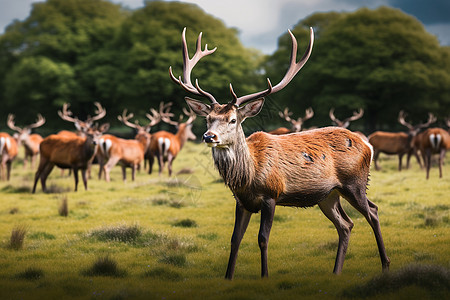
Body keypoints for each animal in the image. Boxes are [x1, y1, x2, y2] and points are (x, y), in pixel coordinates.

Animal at [169, 27, 390, 278]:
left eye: (233, 119)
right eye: (208, 118)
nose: (209, 137)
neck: (249, 175)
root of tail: (367, 144)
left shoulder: (271, 194)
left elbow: (263, 238)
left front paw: (264, 276)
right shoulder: (241, 201)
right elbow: (235, 239)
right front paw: (228, 277)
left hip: (355, 182)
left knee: (373, 211)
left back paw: (385, 264)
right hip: (328, 195)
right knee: (346, 224)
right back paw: (336, 272)